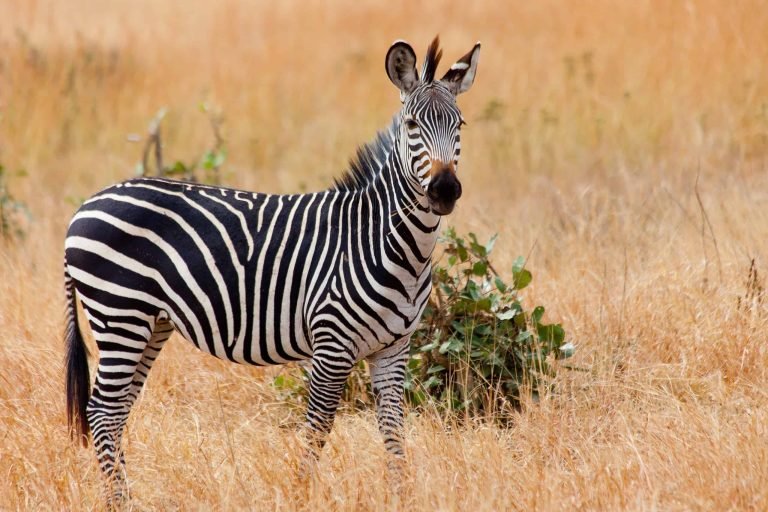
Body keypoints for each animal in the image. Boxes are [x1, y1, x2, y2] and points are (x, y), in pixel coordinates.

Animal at [64, 36, 480, 500]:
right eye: (411, 125)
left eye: (460, 124)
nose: (444, 190)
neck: (390, 243)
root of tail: (86, 205)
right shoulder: (331, 343)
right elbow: (318, 427)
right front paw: (300, 494)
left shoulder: (394, 347)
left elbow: (393, 431)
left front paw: (400, 496)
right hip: (120, 314)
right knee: (101, 411)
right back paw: (119, 501)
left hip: (150, 323)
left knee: (115, 411)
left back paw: (125, 496)